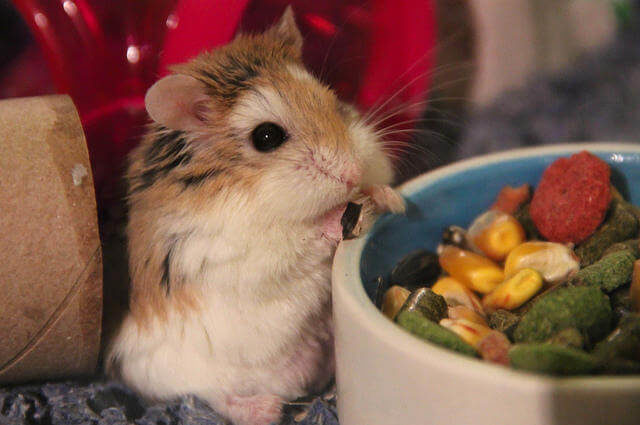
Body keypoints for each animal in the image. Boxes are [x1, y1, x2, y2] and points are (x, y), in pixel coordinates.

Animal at [106, 7, 404, 425]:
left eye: (332, 99)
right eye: (266, 137)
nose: (352, 171)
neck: (256, 192)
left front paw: (390, 198)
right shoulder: (235, 253)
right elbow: (299, 240)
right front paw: (336, 217)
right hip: (163, 370)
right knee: (211, 397)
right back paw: (266, 408)